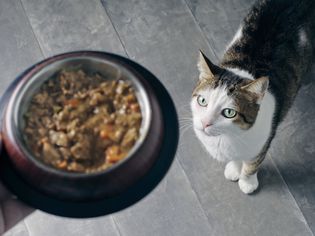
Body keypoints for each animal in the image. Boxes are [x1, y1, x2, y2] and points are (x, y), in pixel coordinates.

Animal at [190, 0, 315, 194]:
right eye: (202, 101)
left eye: (229, 112)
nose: (205, 123)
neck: (228, 137)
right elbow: (235, 159)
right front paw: (234, 169)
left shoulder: (264, 140)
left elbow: (253, 163)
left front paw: (247, 182)